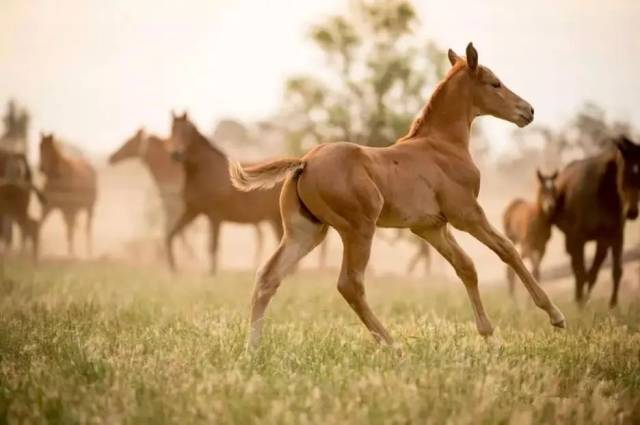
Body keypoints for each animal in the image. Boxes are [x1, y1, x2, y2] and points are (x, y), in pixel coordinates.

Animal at [168, 112, 282, 272]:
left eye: (188, 131)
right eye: (172, 128)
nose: (176, 154)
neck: (204, 171)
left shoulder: (215, 216)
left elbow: (212, 246)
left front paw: (212, 273)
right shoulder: (192, 211)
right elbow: (171, 235)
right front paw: (173, 269)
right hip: (275, 219)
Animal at [229, 43, 564, 348]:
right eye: (495, 83)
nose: (528, 111)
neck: (443, 146)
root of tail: (304, 162)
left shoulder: (430, 227)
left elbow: (466, 266)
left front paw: (489, 337)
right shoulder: (467, 214)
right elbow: (507, 250)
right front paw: (555, 315)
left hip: (306, 231)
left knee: (268, 277)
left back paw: (253, 349)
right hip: (358, 228)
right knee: (350, 284)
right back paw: (392, 345)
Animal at [552, 137, 640, 306]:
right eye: (624, 175)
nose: (632, 213)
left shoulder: (614, 235)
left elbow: (615, 271)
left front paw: (613, 306)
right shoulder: (577, 238)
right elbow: (581, 271)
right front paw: (580, 304)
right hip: (572, 239)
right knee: (578, 269)